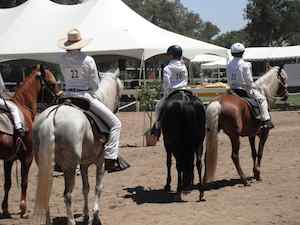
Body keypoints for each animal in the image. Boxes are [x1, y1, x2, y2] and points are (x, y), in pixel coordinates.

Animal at [0, 66, 59, 218]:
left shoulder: (9, 159)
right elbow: (24, 182)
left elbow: (7, 183)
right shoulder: (27, 157)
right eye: (52, 83)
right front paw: (23, 208)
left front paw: (5, 209)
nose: (59, 98)